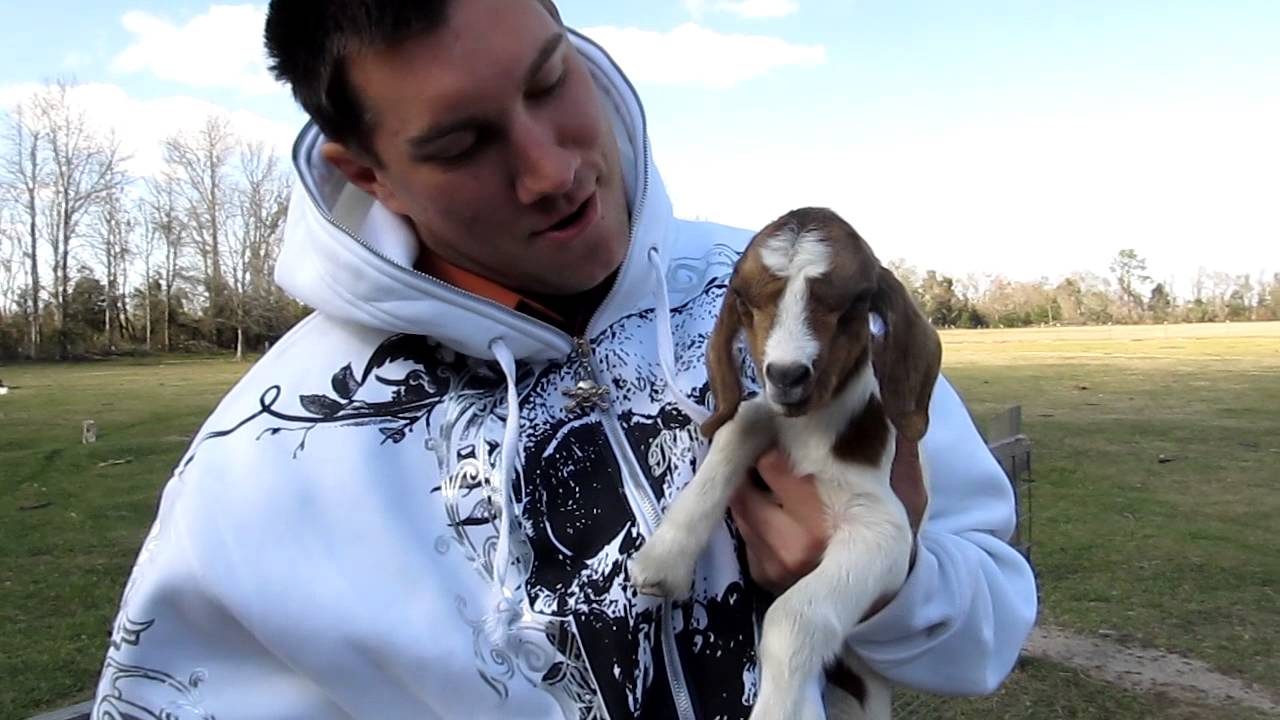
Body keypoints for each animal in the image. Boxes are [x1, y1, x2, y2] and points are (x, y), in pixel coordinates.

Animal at [629, 204, 942, 712]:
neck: (809, 432)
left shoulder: (883, 528)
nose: (788, 376)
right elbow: (740, 423)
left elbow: (794, 618)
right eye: (743, 299)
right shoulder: (765, 416)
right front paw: (663, 558)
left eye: (856, 302)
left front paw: (776, 708)